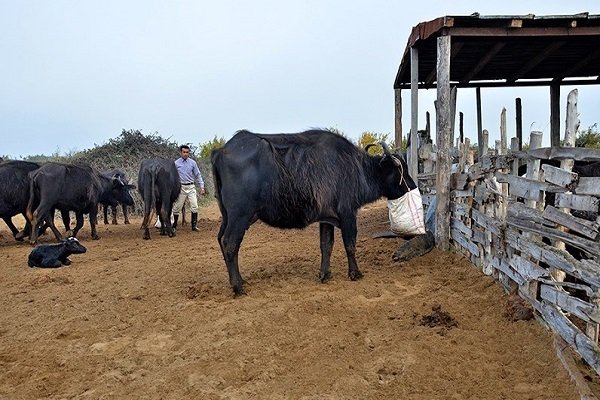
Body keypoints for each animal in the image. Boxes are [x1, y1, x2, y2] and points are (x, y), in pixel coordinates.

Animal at [212, 130, 418, 296]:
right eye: (400, 169)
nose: (413, 186)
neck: (356, 168)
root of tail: (221, 151)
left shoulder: (326, 219)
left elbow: (326, 245)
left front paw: (325, 274)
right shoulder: (348, 214)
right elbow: (350, 244)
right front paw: (355, 273)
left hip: (227, 217)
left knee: (221, 240)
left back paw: (238, 280)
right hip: (239, 217)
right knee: (230, 243)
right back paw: (238, 287)